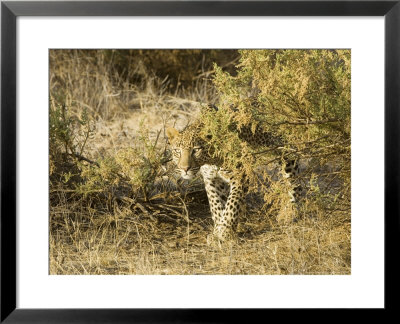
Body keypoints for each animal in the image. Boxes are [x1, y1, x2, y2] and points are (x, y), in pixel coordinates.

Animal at [166, 105, 300, 242]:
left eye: (196, 150)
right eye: (177, 151)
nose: (185, 168)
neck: (211, 159)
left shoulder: (240, 175)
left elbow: (232, 203)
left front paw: (225, 230)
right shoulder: (211, 179)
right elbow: (216, 205)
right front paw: (217, 231)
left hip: (286, 151)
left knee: (294, 180)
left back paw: (290, 212)